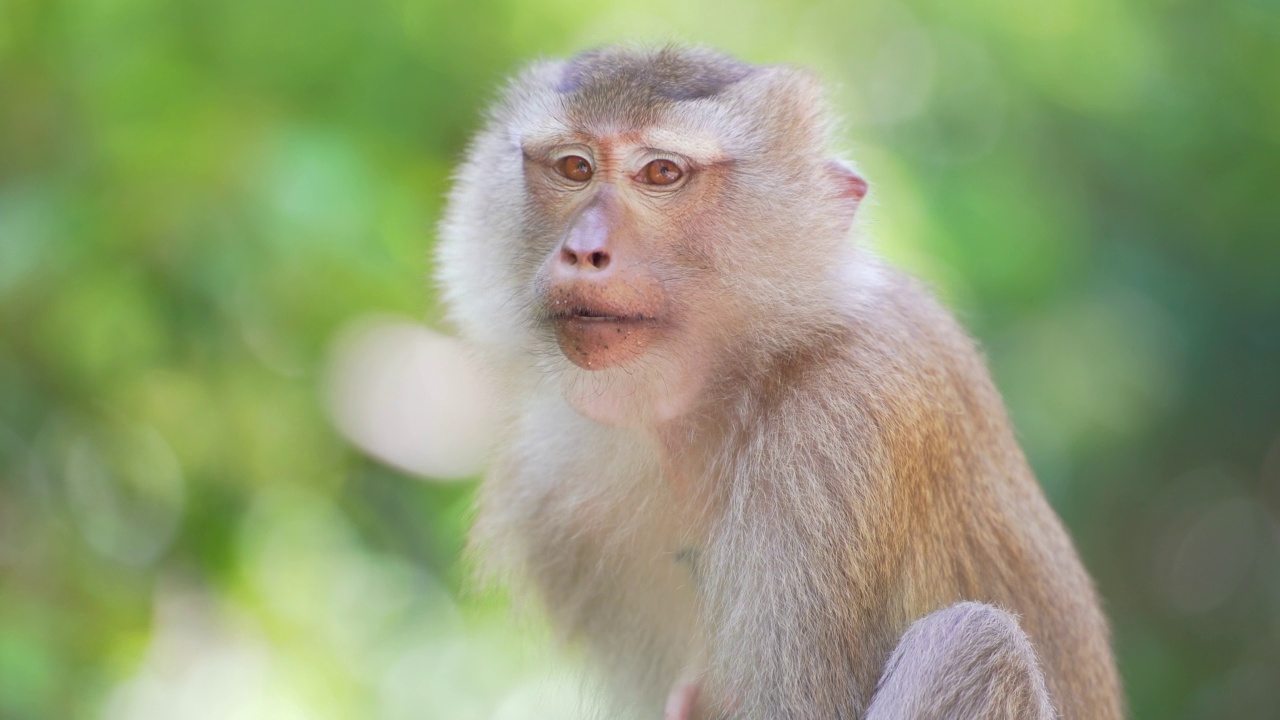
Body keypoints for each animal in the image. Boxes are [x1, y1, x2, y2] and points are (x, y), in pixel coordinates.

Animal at [437, 46, 1121, 717]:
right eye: (574, 167)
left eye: (661, 174)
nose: (584, 250)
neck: (732, 390)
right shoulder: (551, 481)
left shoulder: (840, 433)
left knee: (975, 641)